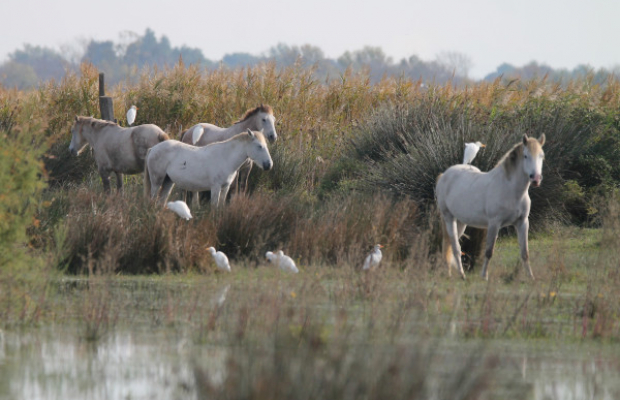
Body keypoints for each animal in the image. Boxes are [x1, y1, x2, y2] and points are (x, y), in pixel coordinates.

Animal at [145, 129, 274, 206]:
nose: (269, 165)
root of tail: (153, 149)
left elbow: (221, 206)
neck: (225, 157)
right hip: (157, 182)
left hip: (168, 181)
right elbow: (214, 207)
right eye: (259, 146)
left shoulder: (225, 187)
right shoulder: (215, 187)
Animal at [436, 133, 548, 280]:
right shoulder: (494, 223)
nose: (535, 179)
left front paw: (531, 277)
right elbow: (489, 251)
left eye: (542, 156)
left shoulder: (522, 222)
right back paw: (461, 275)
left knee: (449, 244)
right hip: (449, 218)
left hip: (460, 221)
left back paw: (449, 273)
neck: (510, 190)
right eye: (525, 155)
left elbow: (525, 252)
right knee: (455, 246)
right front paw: (484, 276)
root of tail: (444, 175)